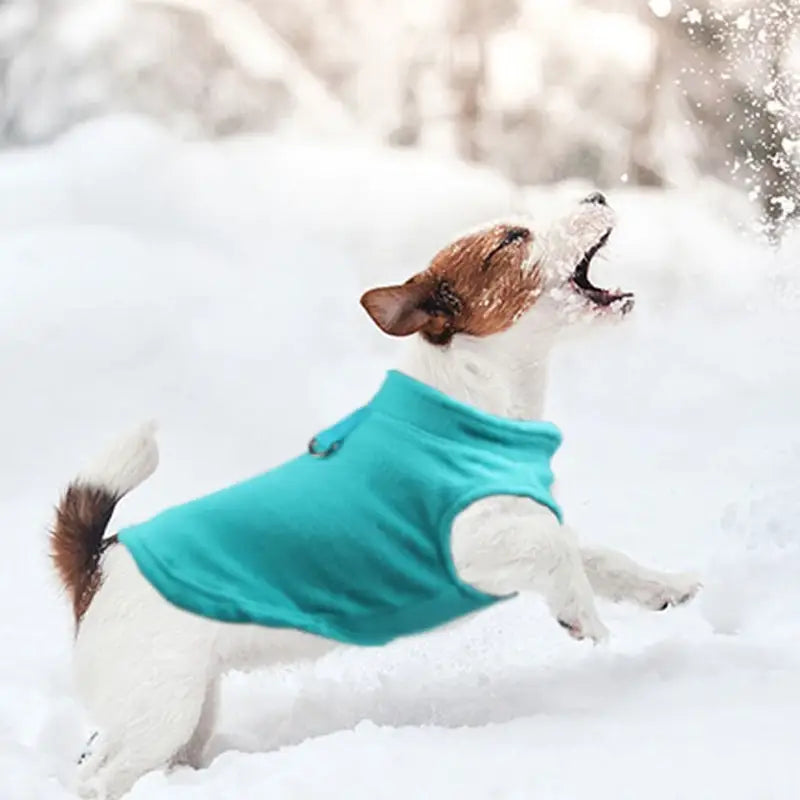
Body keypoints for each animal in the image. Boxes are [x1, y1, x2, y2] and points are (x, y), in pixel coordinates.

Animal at [50, 191, 700, 796]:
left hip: (187, 712)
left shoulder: (521, 520)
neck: (470, 403)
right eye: (513, 238)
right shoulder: (466, 549)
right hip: (160, 712)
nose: (596, 195)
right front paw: (582, 617)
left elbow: (597, 555)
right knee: (96, 779)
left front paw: (664, 588)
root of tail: (97, 562)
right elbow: (556, 548)